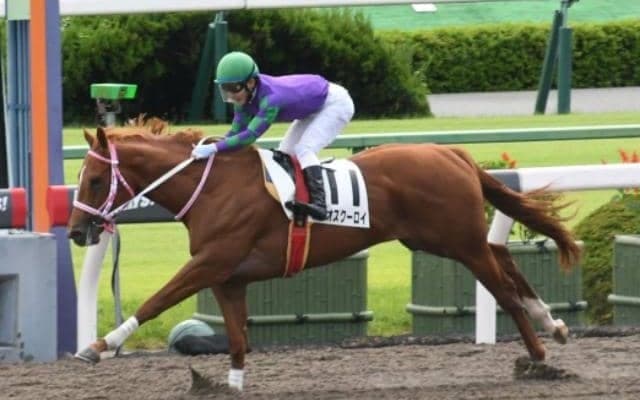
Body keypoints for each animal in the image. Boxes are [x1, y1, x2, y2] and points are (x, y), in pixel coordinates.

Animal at [68, 123, 580, 391]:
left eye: (94, 180)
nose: (75, 231)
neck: (212, 188)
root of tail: (452, 152)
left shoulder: (211, 262)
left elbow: (156, 300)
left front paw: (97, 346)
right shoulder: (228, 277)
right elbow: (237, 340)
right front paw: (230, 385)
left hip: (458, 241)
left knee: (504, 289)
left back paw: (538, 357)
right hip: (443, 239)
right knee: (503, 255)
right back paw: (553, 323)